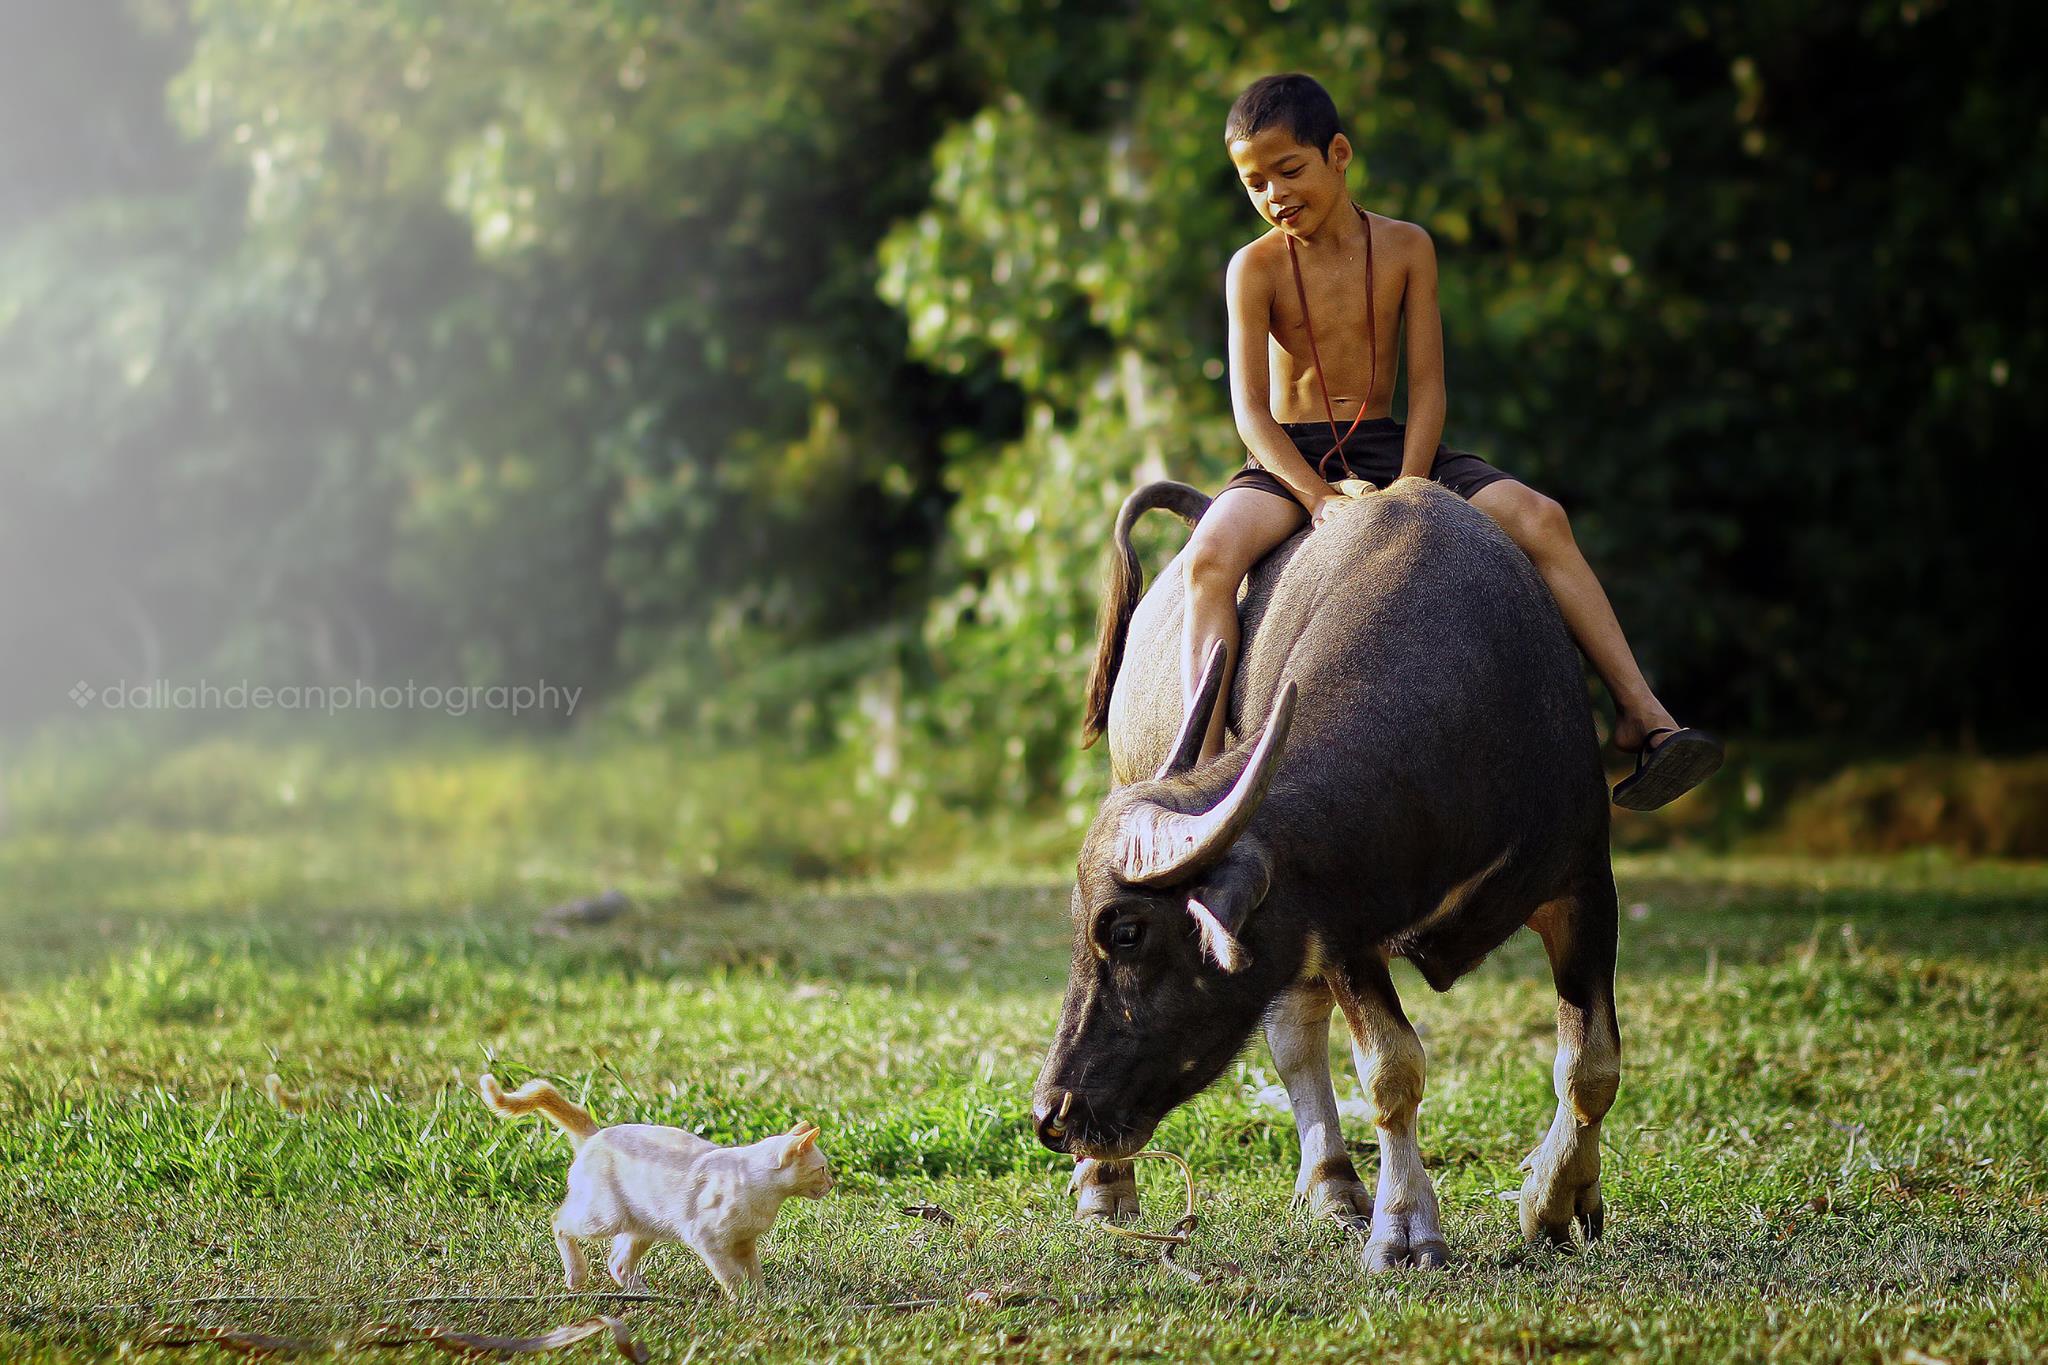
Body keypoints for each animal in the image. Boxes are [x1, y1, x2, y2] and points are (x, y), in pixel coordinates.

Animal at [479, 1072, 831, 1301]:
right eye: (823, 1168)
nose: (831, 1183)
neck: (764, 1193)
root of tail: (596, 1134)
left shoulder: (745, 1243)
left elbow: (754, 1274)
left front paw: (761, 1301)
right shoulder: (707, 1239)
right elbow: (730, 1275)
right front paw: (742, 1300)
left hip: (643, 1225)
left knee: (618, 1264)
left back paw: (641, 1295)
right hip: (603, 1218)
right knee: (559, 1223)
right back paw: (577, 1275)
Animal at [1032, 480, 1622, 1268]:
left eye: (1125, 930)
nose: (1051, 1113)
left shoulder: (1583, 884)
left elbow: (1591, 1065)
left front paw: (1557, 1201)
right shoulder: (1339, 925)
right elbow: (1392, 1070)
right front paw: (1406, 1228)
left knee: (1292, 1030)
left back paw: (1335, 1186)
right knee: (1295, 1036)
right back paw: (1107, 1187)